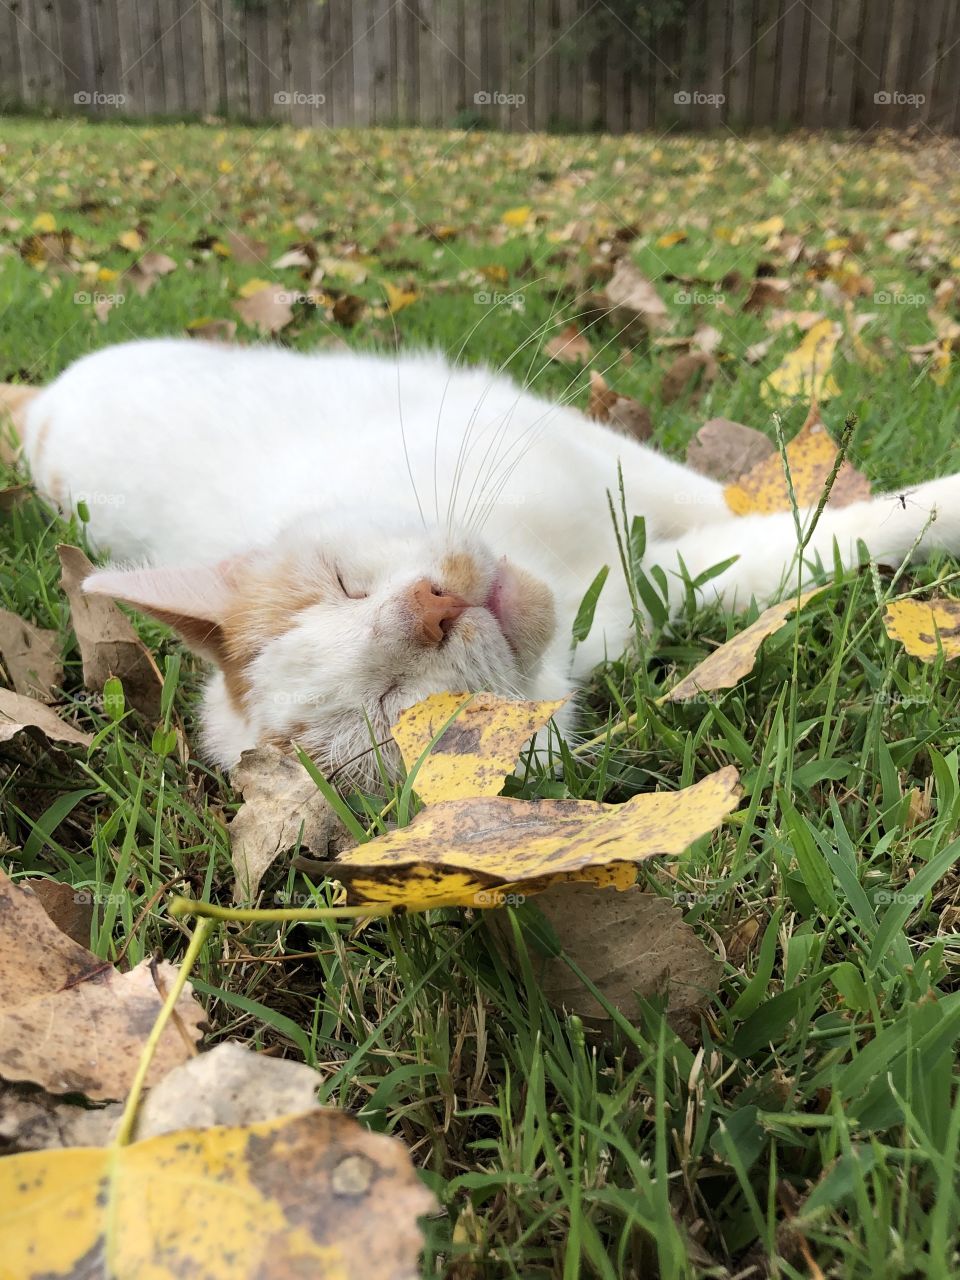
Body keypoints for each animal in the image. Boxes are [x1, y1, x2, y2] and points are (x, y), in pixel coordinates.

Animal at [13, 340, 960, 778]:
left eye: (345, 584)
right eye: (404, 712)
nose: (432, 606)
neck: (567, 577)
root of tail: (41, 404)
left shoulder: (565, 438)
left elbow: (728, 498)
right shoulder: (663, 589)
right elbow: (809, 546)